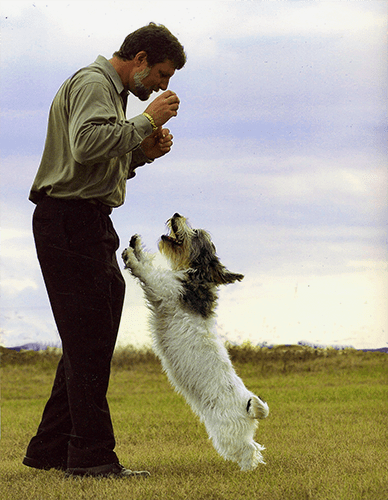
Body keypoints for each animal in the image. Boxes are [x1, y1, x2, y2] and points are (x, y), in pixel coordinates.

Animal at [122, 213, 270, 470]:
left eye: (196, 233)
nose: (176, 214)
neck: (196, 274)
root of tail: (247, 405)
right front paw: (135, 243)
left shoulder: (164, 287)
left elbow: (147, 271)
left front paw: (131, 255)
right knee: (254, 448)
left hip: (227, 432)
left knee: (249, 450)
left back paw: (248, 471)